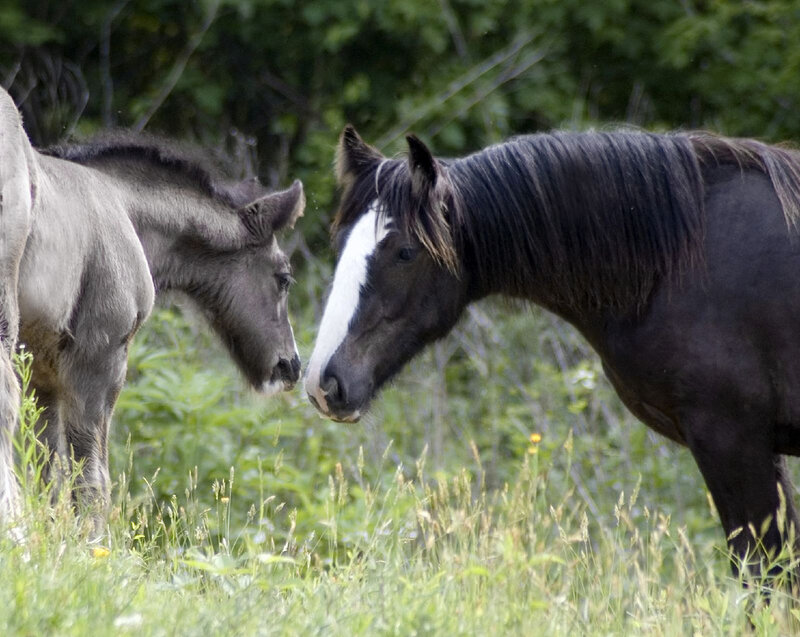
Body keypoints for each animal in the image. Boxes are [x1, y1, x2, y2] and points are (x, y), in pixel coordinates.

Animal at [0, 86, 304, 536]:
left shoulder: (43, 371)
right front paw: (93, 543)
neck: (126, 208)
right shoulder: (101, 354)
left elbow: (47, 469)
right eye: (283, 277)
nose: (290, 365)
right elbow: (91, 471)